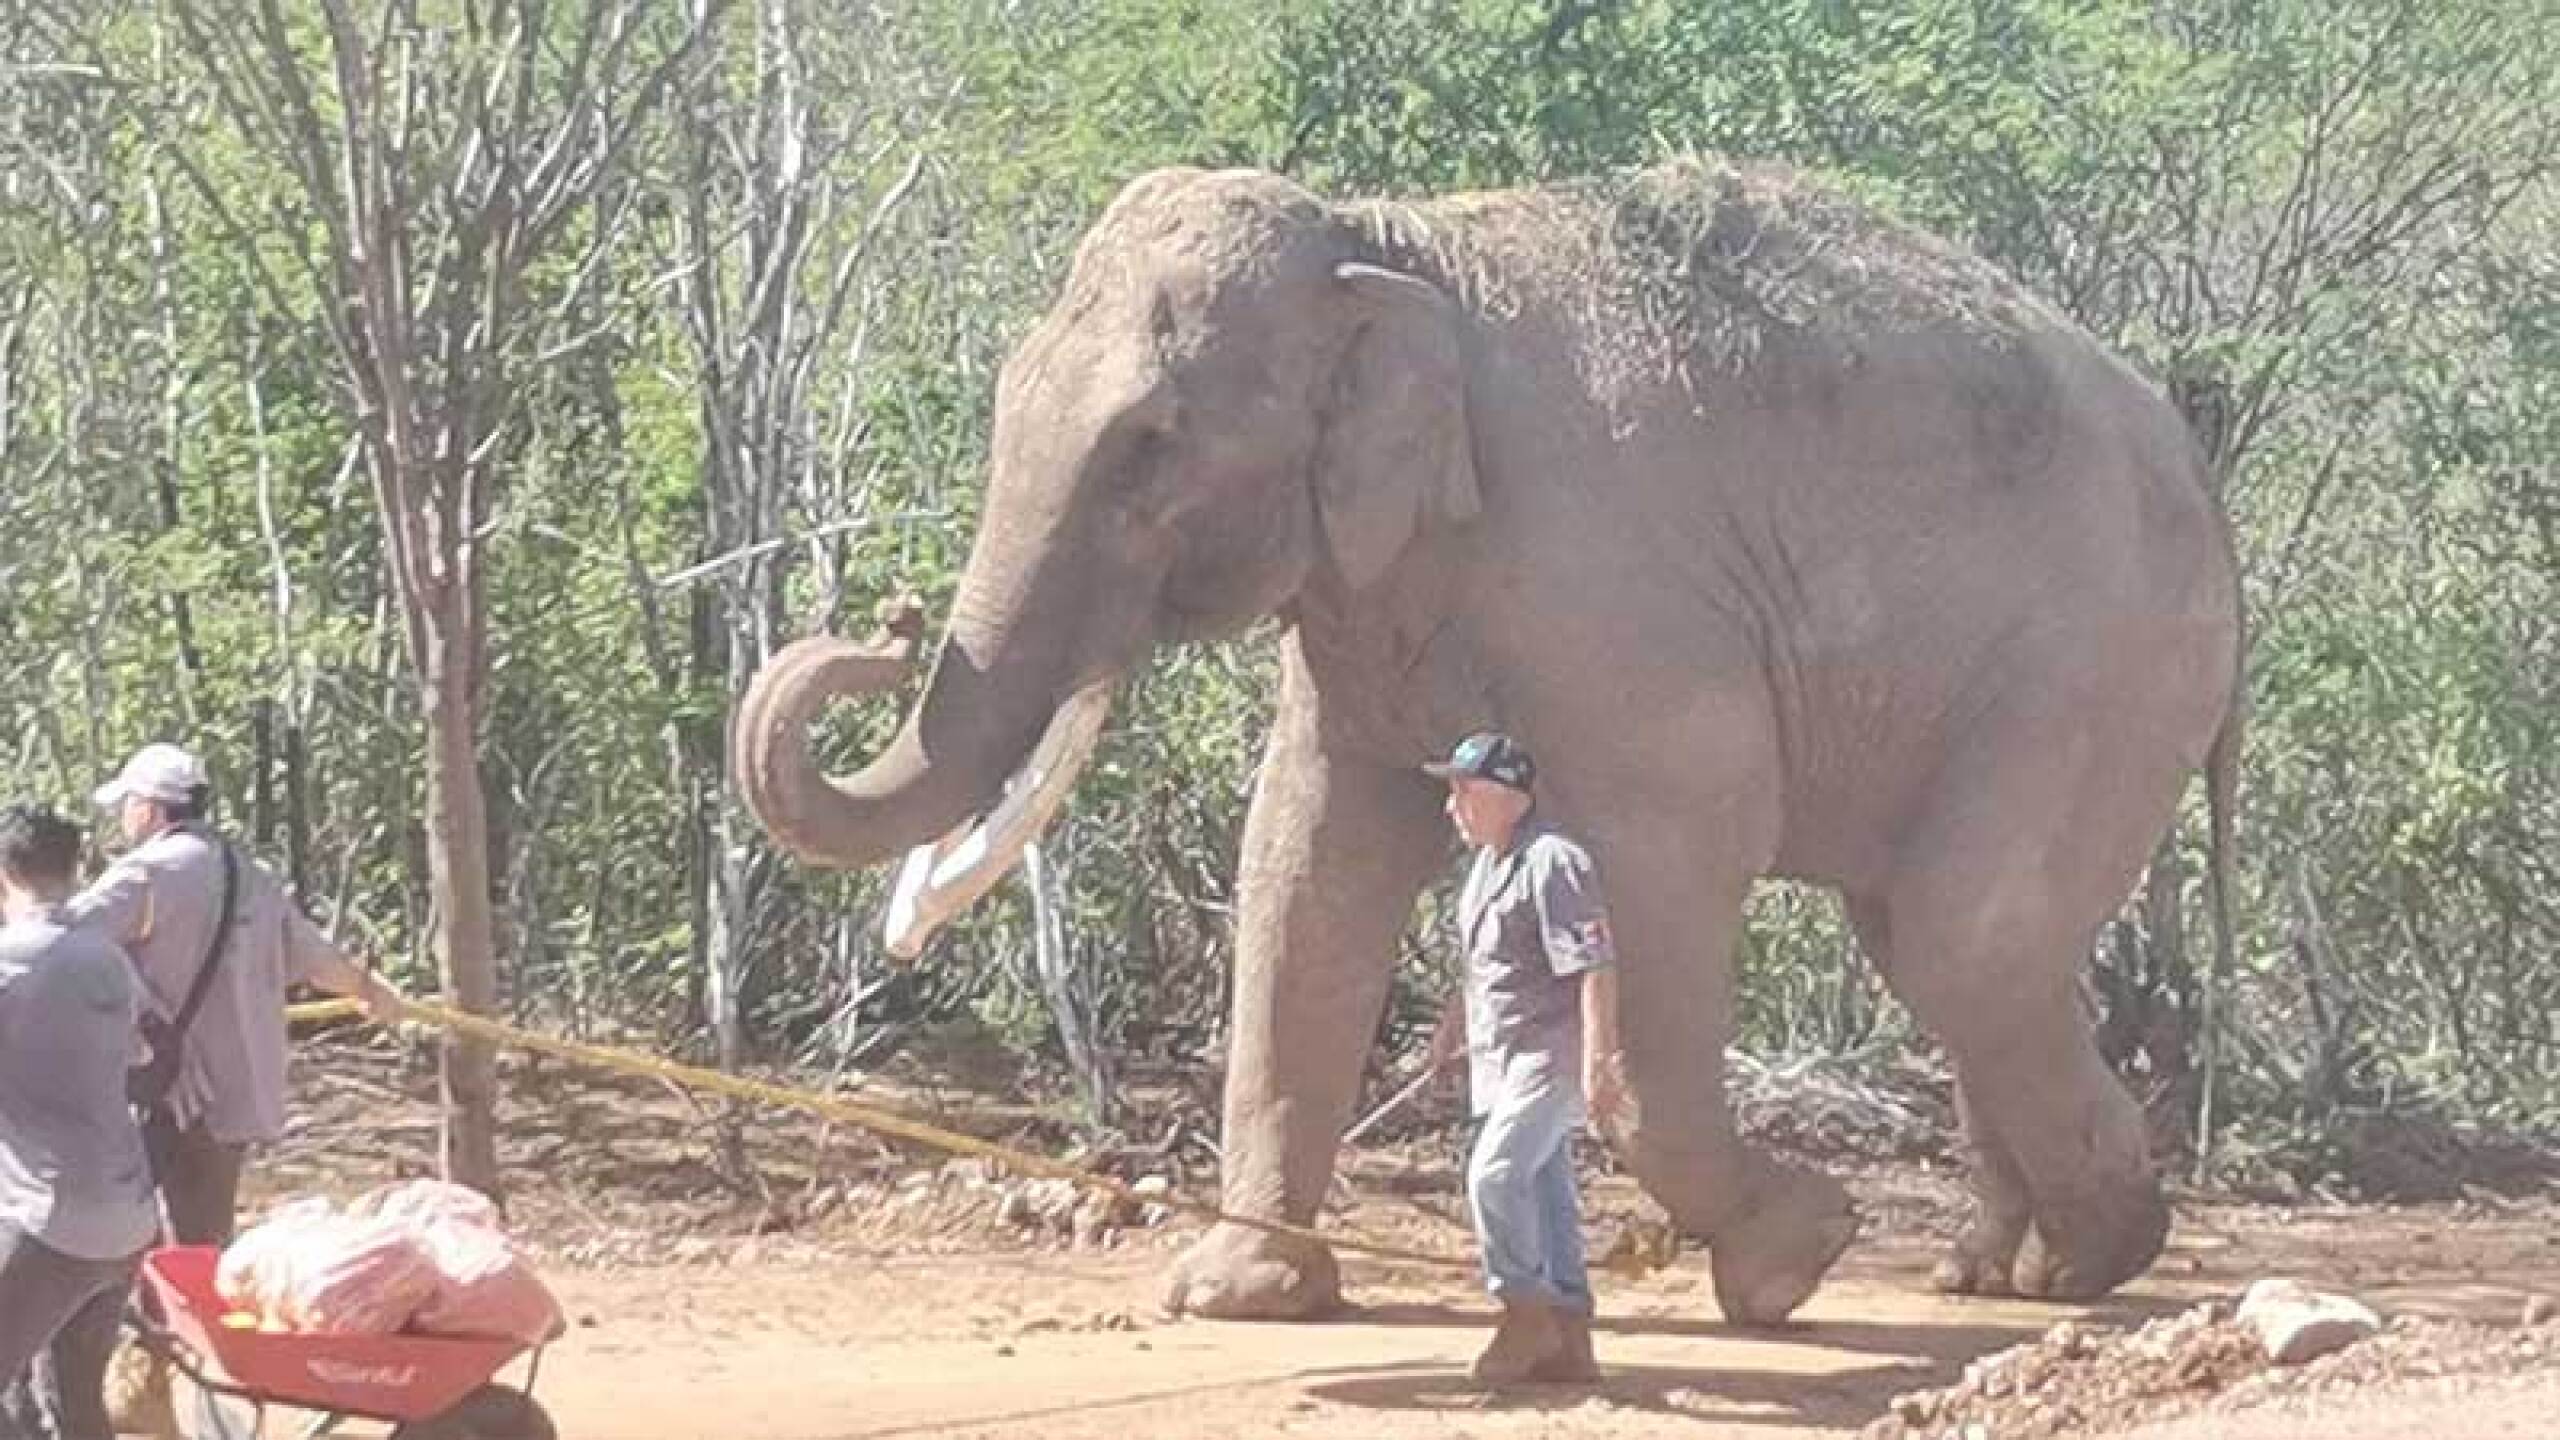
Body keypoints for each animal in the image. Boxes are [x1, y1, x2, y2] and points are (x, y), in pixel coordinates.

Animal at [731, 158, 2242, 1325]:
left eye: (1150, 443)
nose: (886, 623)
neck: (1388, 239)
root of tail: (2197, 465)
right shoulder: (1366, 587)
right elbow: (1304, 865)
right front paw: (1239, 1295)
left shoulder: (1620, 601)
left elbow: (1677, 851)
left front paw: (1790, 1261)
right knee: (1942, 936)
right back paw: (1999, 1272)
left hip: (2099, 665)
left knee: (1959, 931)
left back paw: (2090, 1260)